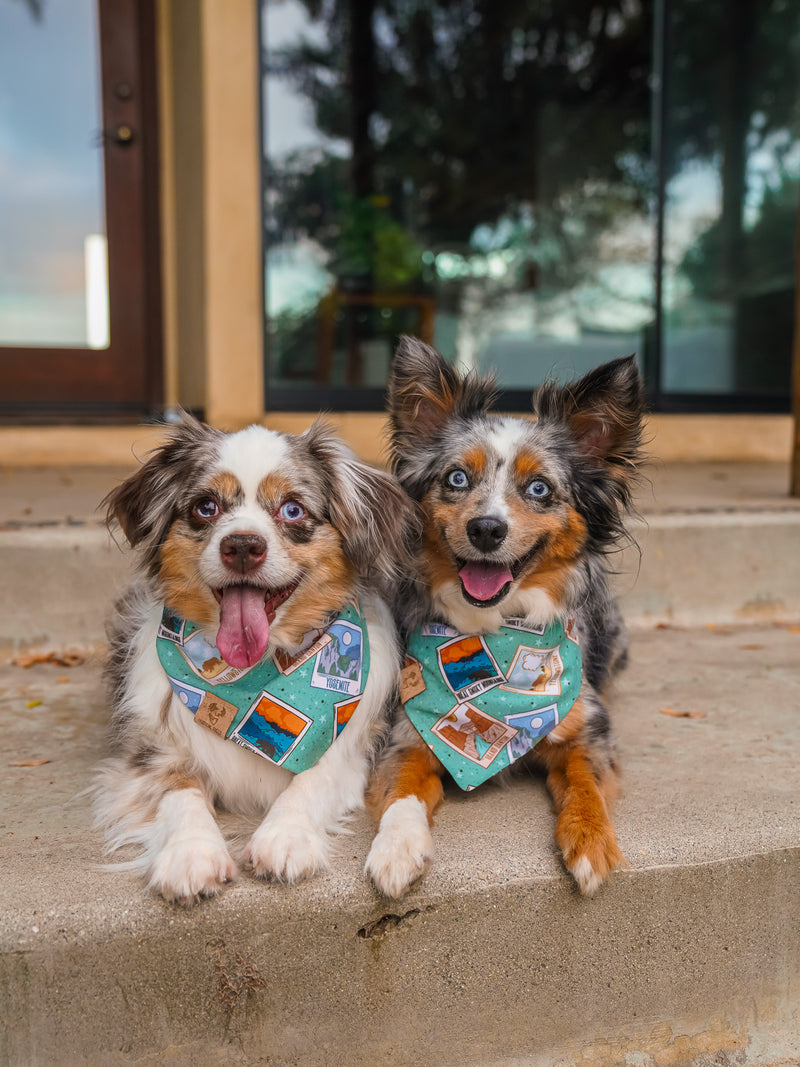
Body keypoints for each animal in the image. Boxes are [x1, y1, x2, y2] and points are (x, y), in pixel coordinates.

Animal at [95, 413, 413, 900]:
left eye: (292, 509)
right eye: (206, 507)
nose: (243, 545)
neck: (253, 676)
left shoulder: (351, 746)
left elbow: (311, 779)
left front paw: (284, 838)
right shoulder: (152, 751)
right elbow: (179, 792)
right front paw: (190, 855)